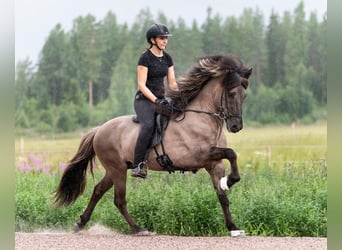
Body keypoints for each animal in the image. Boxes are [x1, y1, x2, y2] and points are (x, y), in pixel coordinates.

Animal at [54, 53, 252, 237]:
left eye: (244, 96)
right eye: (232, 94)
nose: (236, 127)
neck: (202, 118)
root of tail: (99, 129)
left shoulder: (214, 164)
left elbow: (223, 196)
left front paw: (233, 226)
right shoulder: (200, 156)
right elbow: (232, 153)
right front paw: (230, 181)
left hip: (115, 169)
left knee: (98, 191)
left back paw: (80, 224)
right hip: (117, 169)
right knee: (119, 200)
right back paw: (138, 228)